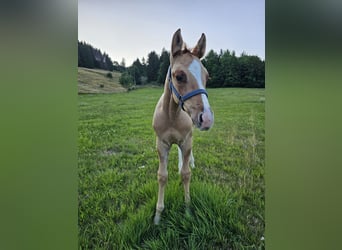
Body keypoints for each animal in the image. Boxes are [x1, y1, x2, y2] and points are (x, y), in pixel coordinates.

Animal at [152, 28, 214, 225]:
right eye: (179, 76)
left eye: (207, 77)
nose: (207, 119)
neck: (172, 116)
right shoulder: (161, 144)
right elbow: (162, 176)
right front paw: (158, 215)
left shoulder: (186, 140)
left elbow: (186, 174)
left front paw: (187, 209)